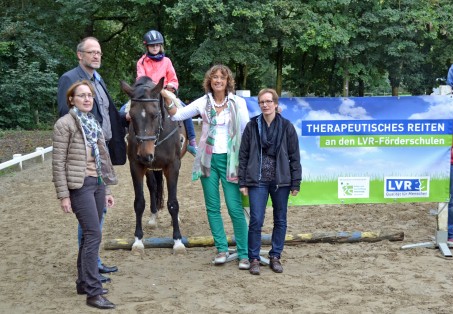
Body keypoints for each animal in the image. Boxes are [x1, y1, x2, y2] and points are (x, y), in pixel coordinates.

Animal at [119, 76, 186, 255]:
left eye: (155, 115)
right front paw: (138, 240)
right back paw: (153, 217)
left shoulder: (173, 166)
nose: (145, 154)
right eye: (131, 116)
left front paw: (178, 241)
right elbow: (139, 203)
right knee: (153, 186)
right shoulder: (136, 166)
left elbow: (173, 203)